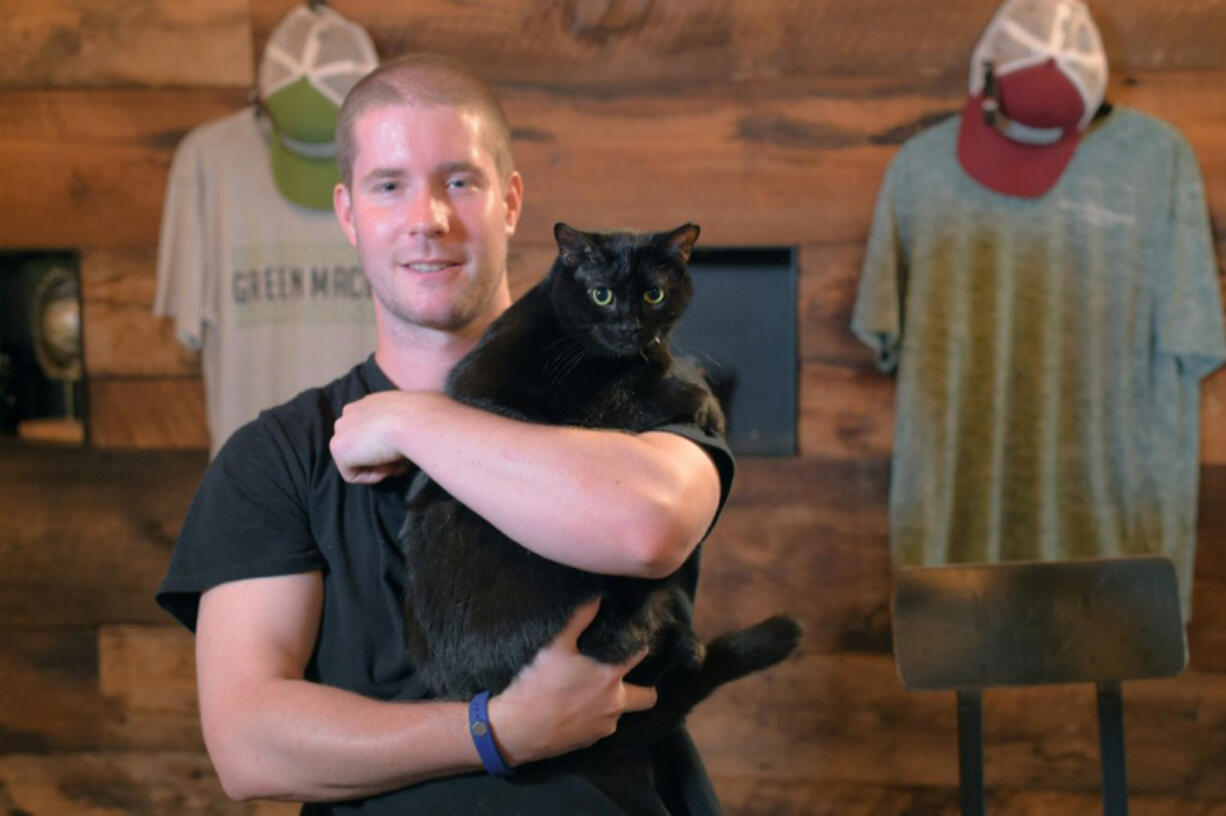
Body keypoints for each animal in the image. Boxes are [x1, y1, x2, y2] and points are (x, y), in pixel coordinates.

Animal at [402, 219, 804, 740]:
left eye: (654, 294)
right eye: (601, 294)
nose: (630, 326)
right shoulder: (574, 413)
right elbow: (638, 393)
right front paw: (703, 401)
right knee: (614, 641)